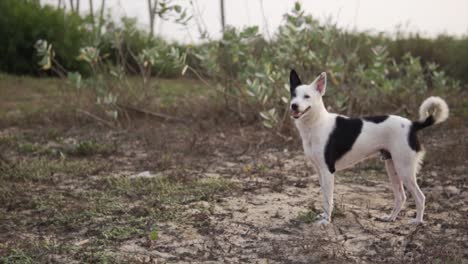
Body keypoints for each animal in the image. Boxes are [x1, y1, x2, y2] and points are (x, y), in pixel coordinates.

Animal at [288, 69, 450, 225]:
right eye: (293, 95)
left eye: (307, 96)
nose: (293, 105)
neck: (317, 123)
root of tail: (412, 125)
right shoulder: (320, 171)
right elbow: (324, 197)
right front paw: (323, 216)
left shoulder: (328, 171)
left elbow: (328, 199)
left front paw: (326, 221)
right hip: (392, 167)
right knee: (401, 197)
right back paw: (391, 218)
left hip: (404, 169)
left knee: (420, 197)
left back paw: (417, 221)